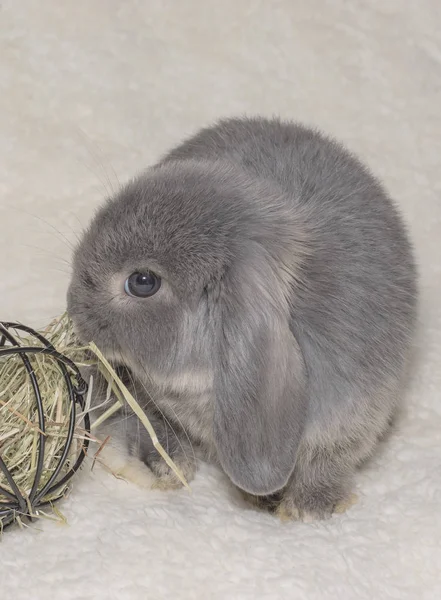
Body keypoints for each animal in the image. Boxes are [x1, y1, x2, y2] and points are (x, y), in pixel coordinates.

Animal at [68, 117, 416, 520]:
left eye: (143, 282)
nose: (73, 308)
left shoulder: (352, 419)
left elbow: (326, 464)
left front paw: (309, 508)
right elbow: (147, 421)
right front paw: (163, 464)